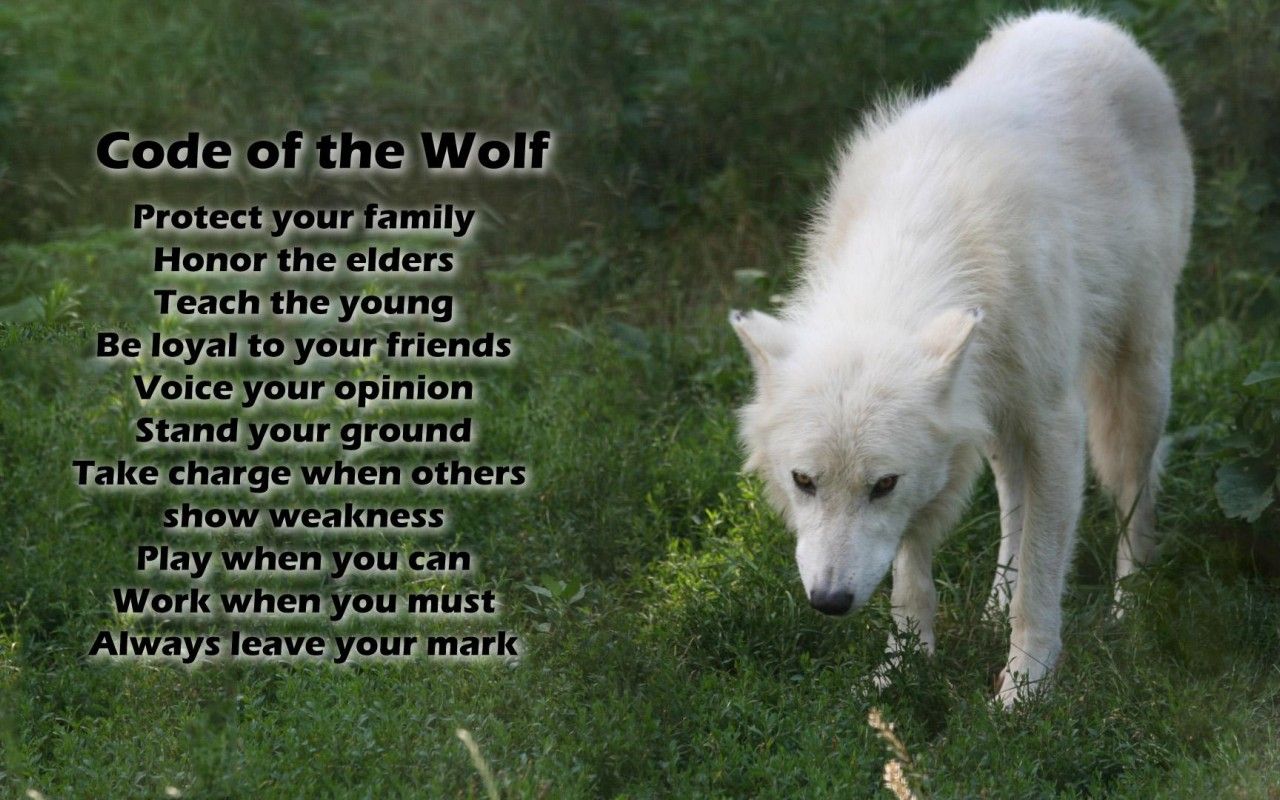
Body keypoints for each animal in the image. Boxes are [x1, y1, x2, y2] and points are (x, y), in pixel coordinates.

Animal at [730, 10, 1193, 706]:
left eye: (881, 485)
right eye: (803, 481)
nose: (830, 602)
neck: (914, 249)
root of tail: (1083, 20)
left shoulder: (1056, 425)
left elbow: (1044, 575)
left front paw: (1024, 692)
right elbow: (911, 577)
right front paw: (899, 669)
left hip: (1134, 386)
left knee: (1134, 493)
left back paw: (1128, 612)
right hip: (997, 420)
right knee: (1012, 499)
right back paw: (994, 604)